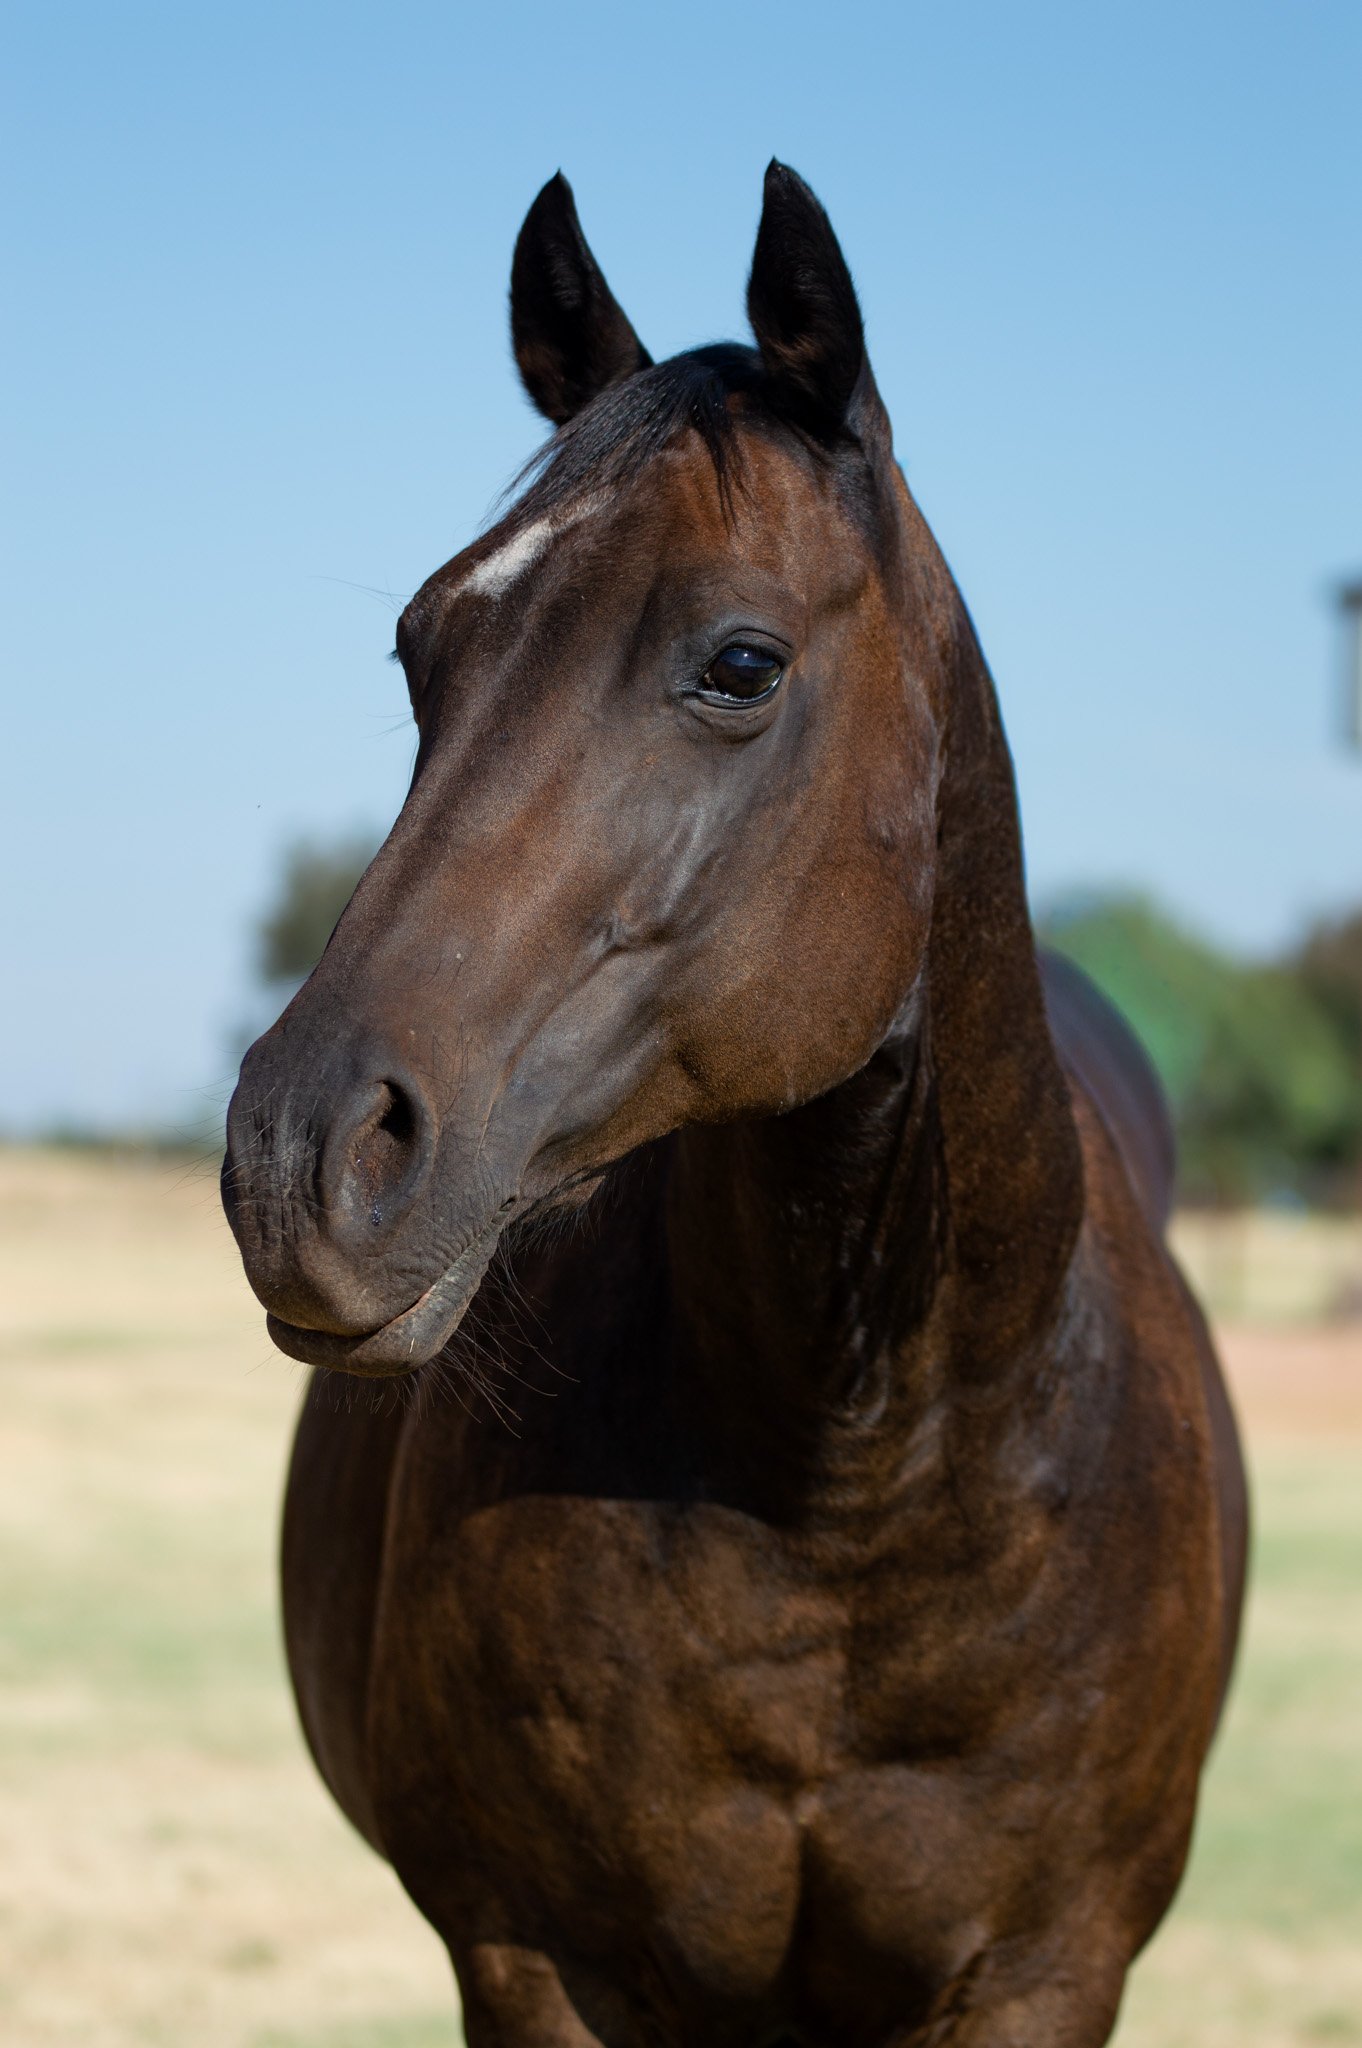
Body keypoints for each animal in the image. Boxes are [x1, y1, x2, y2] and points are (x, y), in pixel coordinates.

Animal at [223, 163, 1248, 2048]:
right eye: (419, 650)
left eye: (740, 663)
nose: (298, 1155)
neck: (851, 1498)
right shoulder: (533, 1961)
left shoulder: (1047, 1970)